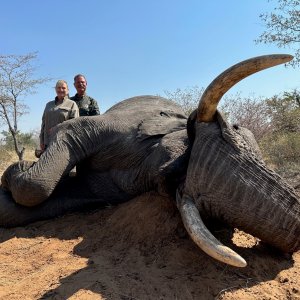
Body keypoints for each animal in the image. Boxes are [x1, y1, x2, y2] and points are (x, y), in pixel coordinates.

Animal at [0, 54, 300, 268]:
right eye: (234, 128)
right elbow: (65, 137)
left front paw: (12, 182)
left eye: (170, 185)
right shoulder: (120, 126)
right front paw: (17, 170)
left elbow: (46, 196)